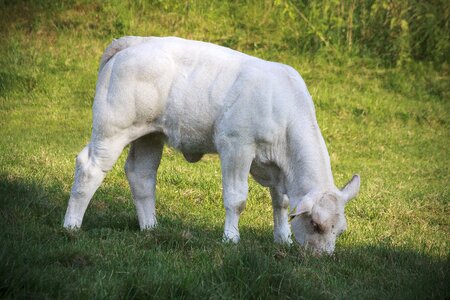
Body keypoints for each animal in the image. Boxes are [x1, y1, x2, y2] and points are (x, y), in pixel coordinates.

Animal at [63, 36, 360, 254]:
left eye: (340, 230)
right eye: (316, 225)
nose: (323, 256)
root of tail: (134, 41)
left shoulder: (277, 166)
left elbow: (282, 203)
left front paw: (283, 239)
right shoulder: (236, 146)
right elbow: (237, 199)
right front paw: (231, 239)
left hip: (150, 134)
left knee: (142, 174)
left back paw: (151, 228)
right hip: (112, 129)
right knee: (89, 168)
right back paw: (72, 226)